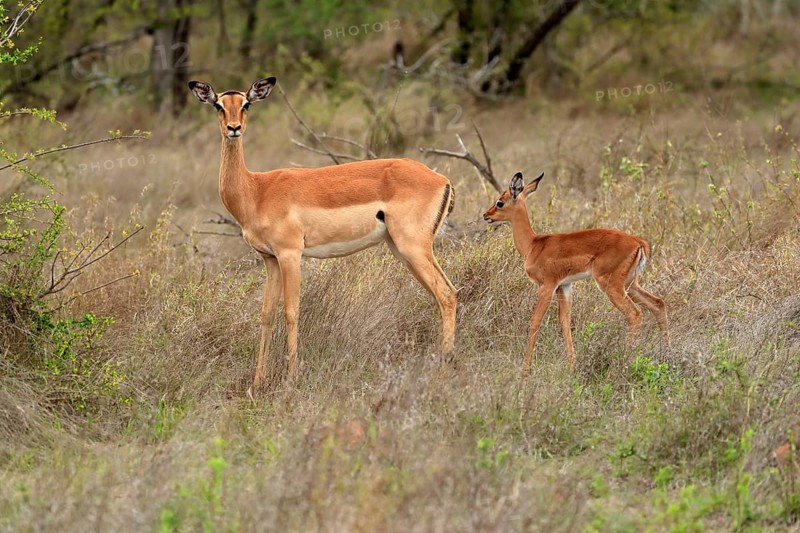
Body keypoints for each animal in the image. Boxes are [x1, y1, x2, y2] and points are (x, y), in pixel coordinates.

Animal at [188, 78, 457, 390]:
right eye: (219, 105)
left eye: (246, 104)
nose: (234, 128)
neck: (256, 190)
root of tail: (441, 179)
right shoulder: (270, 259)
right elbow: (266, 313)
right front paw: (257, 382)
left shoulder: (291, 255)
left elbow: (291, 311)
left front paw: (291, 379)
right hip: (403, 250)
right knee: (444, 294)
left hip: (413, 248)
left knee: (446, 294)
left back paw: (442, 373)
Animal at [483, 172, 668, 375]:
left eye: (500, 202)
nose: (486, 215)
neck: (533, 245)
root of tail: (639, 242)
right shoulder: (564, 286)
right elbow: (565, 322)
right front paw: (571, 365)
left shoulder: (546, 286)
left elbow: (535, 322)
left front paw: (525, 370)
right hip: (630, 285)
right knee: (658, 304)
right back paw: (665, 355)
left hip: (611, 285)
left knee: (634, 314)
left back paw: (625, 361)